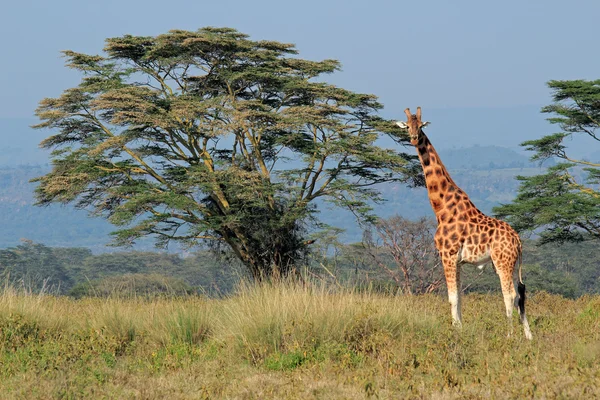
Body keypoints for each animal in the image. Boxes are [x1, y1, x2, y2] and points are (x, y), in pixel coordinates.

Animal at [396, 107, 532, 340]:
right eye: (407, 126)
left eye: (421, 126)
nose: (413, 138)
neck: (441, 208)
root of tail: (518, 239)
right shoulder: (457, 261)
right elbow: (459, 297)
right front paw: (459, 329)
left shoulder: (447, 255)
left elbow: (452, 297)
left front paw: (455, 331)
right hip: (511, 263)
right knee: (521, 294)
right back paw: (528, 336)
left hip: (502, 262)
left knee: (510, 295)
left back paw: (509, 335)